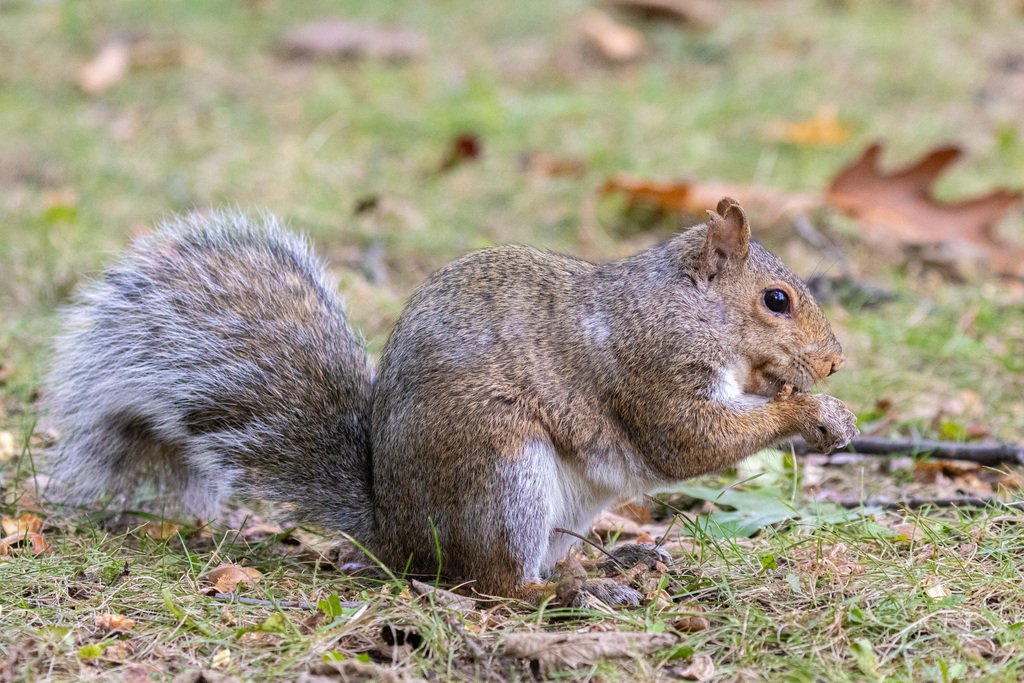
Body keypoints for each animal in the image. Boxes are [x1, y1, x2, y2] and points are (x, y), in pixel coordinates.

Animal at [45, 198, 857, 605]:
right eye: (777, 300)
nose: (833, 362)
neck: (679, 307)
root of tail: (397, 534)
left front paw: (832, 415)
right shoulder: (646, 368)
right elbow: (688, 441)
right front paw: (803, 412)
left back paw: (615, 561)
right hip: (499, 472)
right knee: (489, 583)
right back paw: (568, 594)